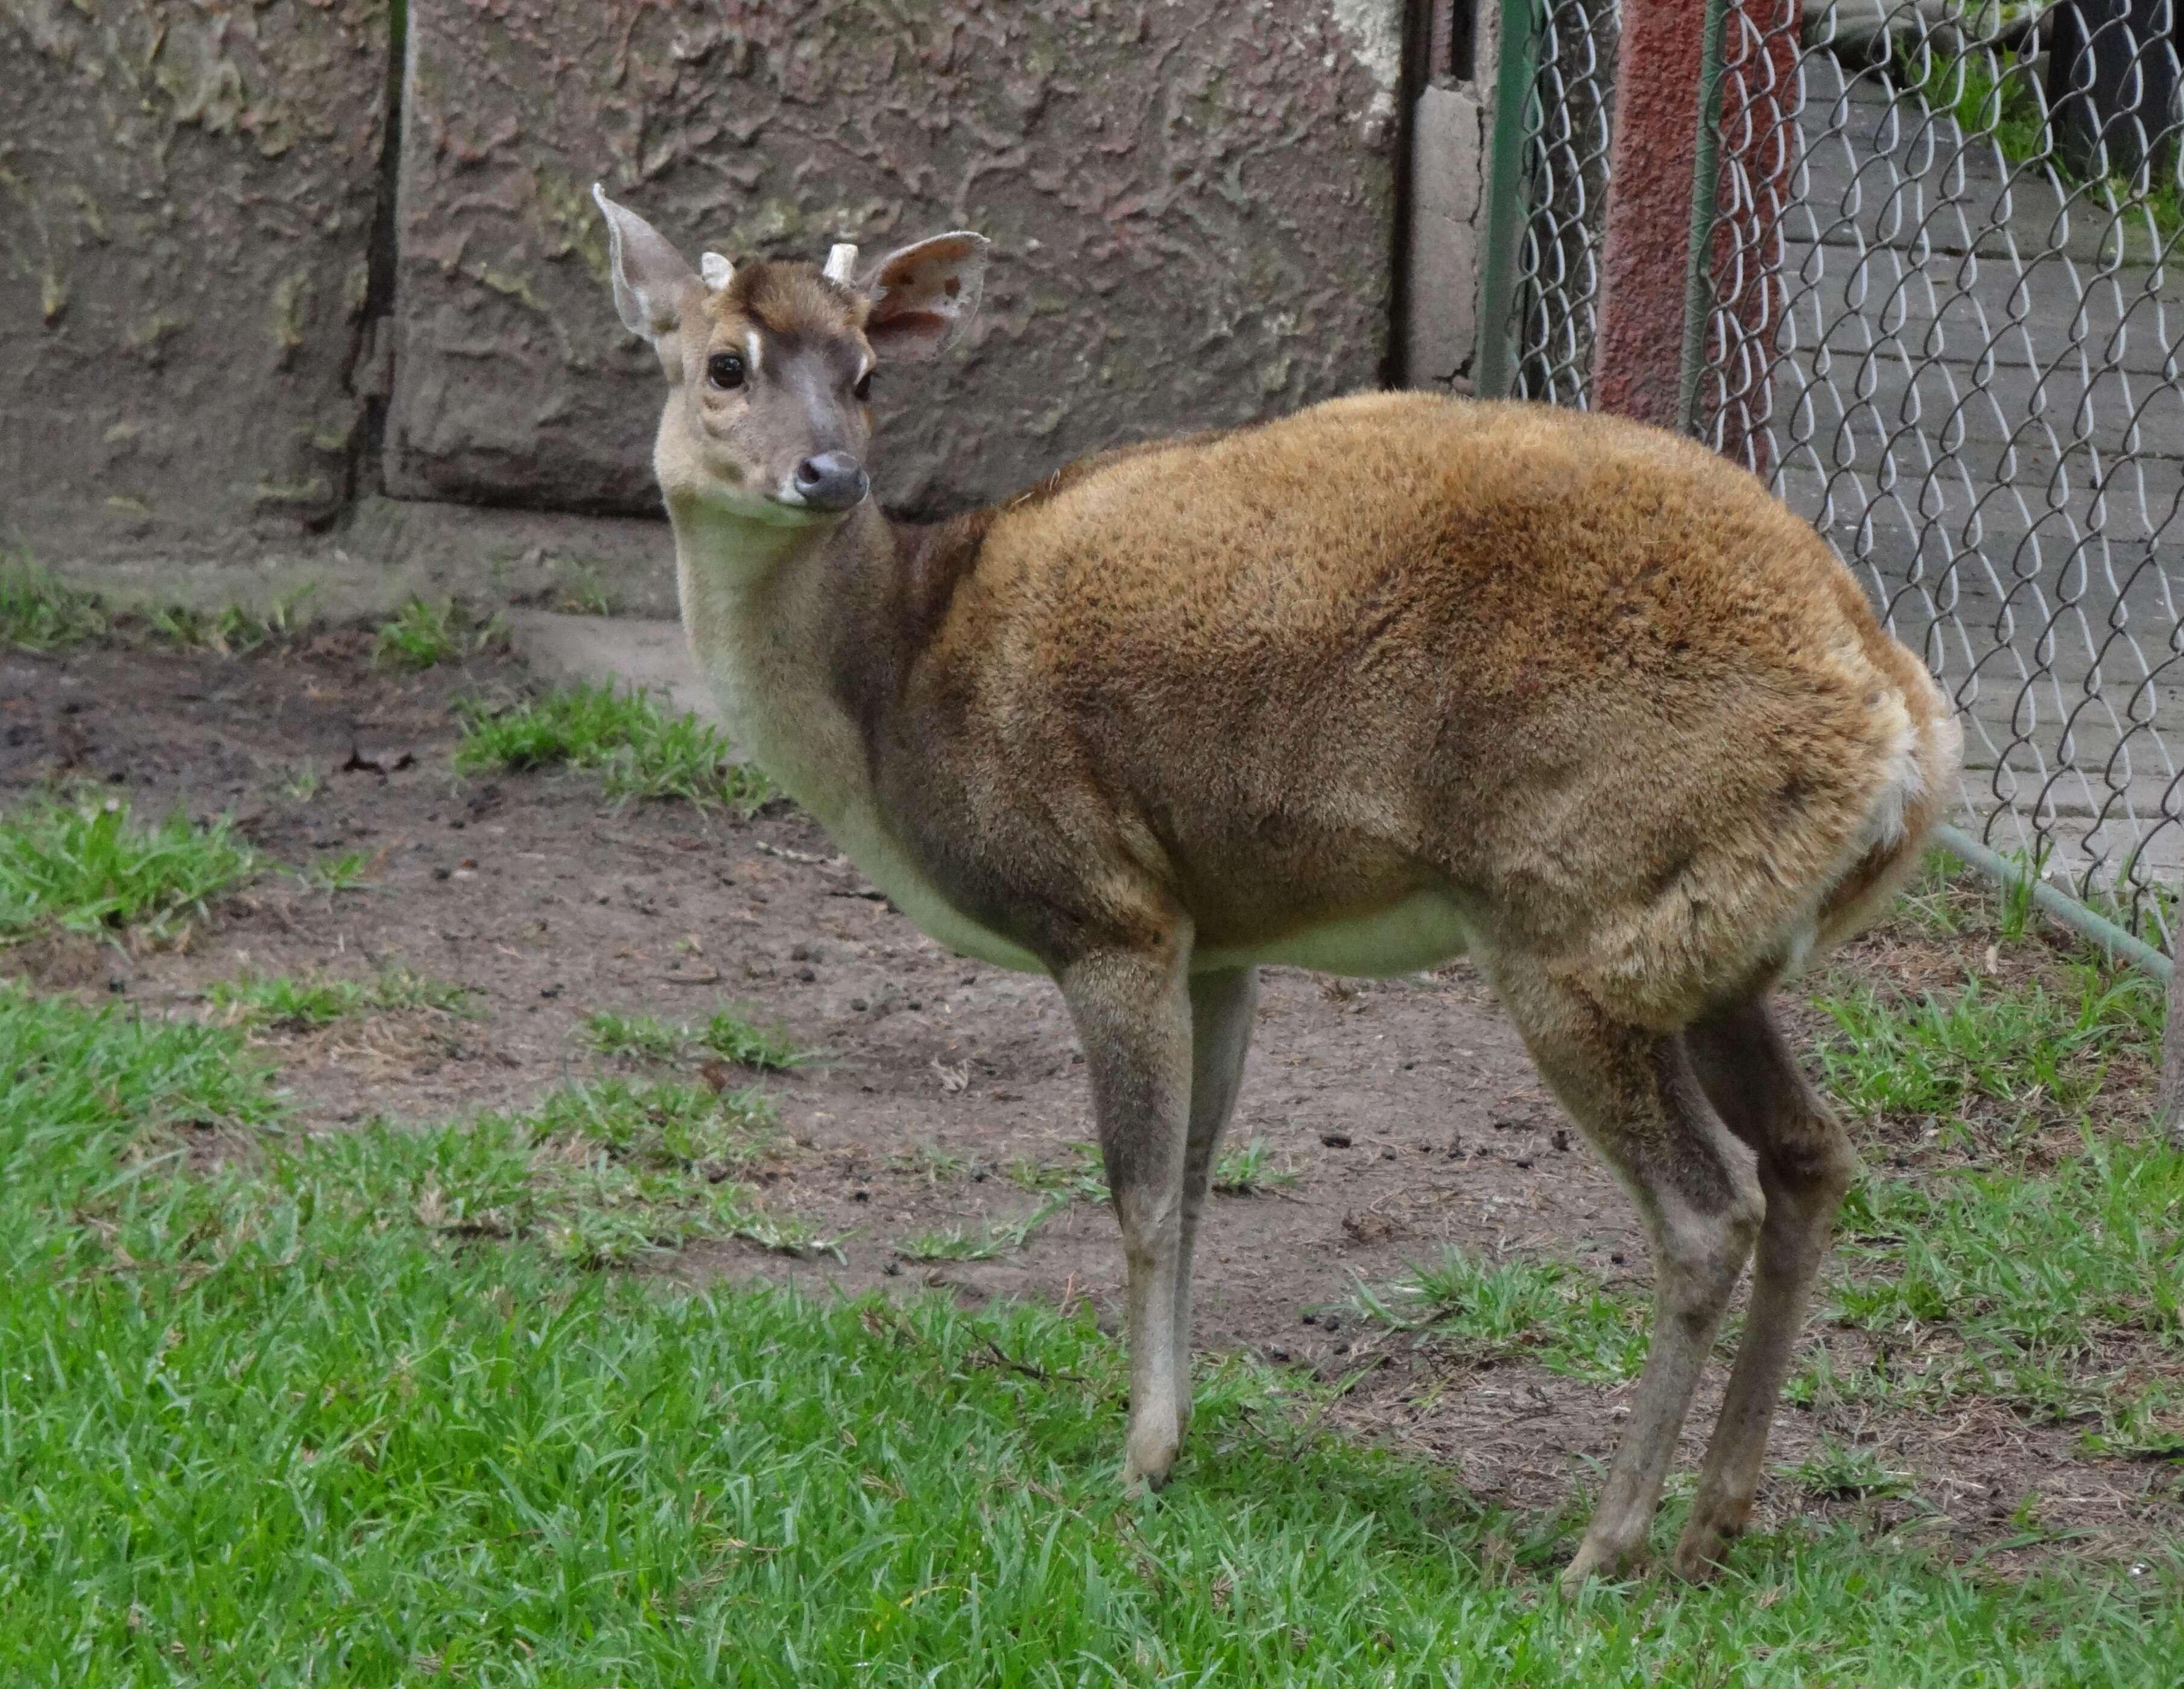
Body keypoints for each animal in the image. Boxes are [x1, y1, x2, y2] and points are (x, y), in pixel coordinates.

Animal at [585, 192, 1965, 1597]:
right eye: (723, 365)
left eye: (865, 374)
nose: (827, 473)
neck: (893, 691)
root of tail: (1902, 733)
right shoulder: (1220, 936)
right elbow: (1197, 1180)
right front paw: (1177, 1426)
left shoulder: (1105, 904)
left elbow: (1139, 1191)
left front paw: (1138, 1452)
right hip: (1705, 943)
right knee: (1808, 1153)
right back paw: (1711, 1520)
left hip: (1576, 922)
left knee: (1703, 1206)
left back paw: (1599, 1545)